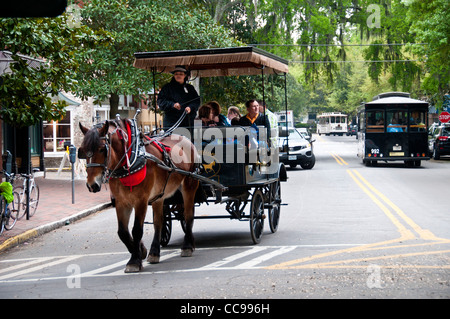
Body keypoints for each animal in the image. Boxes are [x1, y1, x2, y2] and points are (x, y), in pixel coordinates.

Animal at [79, 119, 199, 274]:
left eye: (101, 149)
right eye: (82, 150)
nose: (91, 185)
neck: (131, 159)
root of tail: (185, 139)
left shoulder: (141, 201)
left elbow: (136, 230)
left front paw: (134, 261)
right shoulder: (121, 202)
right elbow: (122, 232)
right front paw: (141, 251)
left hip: (190, 185)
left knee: (188, 215)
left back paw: (187, 246)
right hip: (159, 196)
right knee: (159, 222)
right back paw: (154, 252)